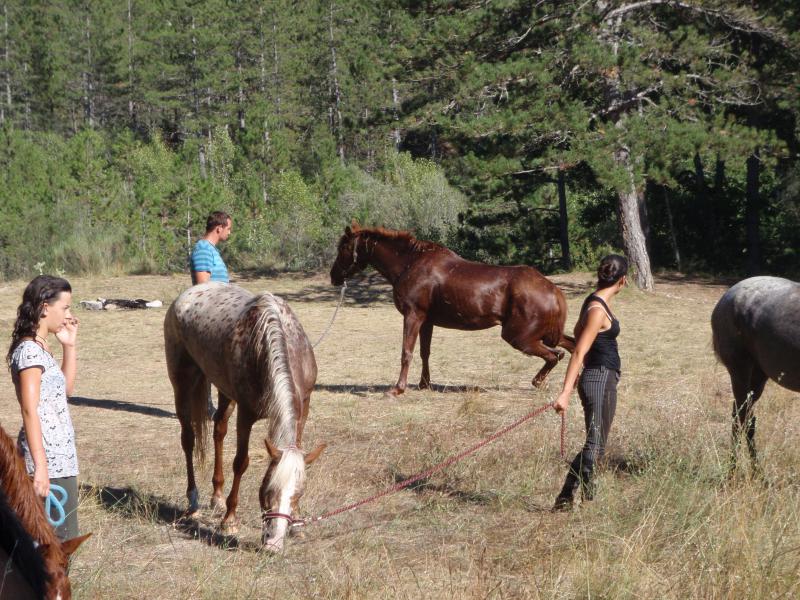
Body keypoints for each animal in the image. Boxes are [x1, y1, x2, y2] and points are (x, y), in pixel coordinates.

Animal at [164, 284, 326, 552]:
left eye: (298, 494)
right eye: (268, 492)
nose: (273, 545)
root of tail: (189, 293)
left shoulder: (304, 407)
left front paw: (297, 524)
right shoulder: (246, 414)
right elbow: (241, 462)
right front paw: (229, 520)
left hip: (224, 390)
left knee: (218, 430)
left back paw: (217, 497)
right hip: (182, 383)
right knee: (188, 439)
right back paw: (194, 502)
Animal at [332, 223, 576, 396]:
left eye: (343, 247)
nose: (334, 277)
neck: (409, 263)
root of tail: (554, 290)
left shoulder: (413, 315)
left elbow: (406, 352)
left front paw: (398, 388)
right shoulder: (426, 321)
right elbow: (425, 352)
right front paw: (424, 383)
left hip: (519, 336)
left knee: (556, 355)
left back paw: (539, 383)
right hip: (545, 334)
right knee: (572, 347)